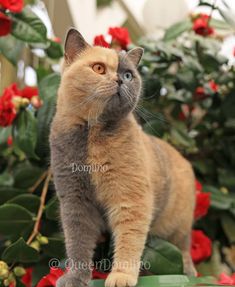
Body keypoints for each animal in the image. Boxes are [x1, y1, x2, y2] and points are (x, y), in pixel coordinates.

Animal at [50, 27, 196, 287]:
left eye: (128, 75)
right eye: (98, 68)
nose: (119, 80)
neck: (91, 136)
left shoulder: (131, 197)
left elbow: (129, 241)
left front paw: (121, 276)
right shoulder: (75, 201)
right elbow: (77, 244)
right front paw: (76, 277)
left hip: (179, 227)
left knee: (184, 247)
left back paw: (188, 271)